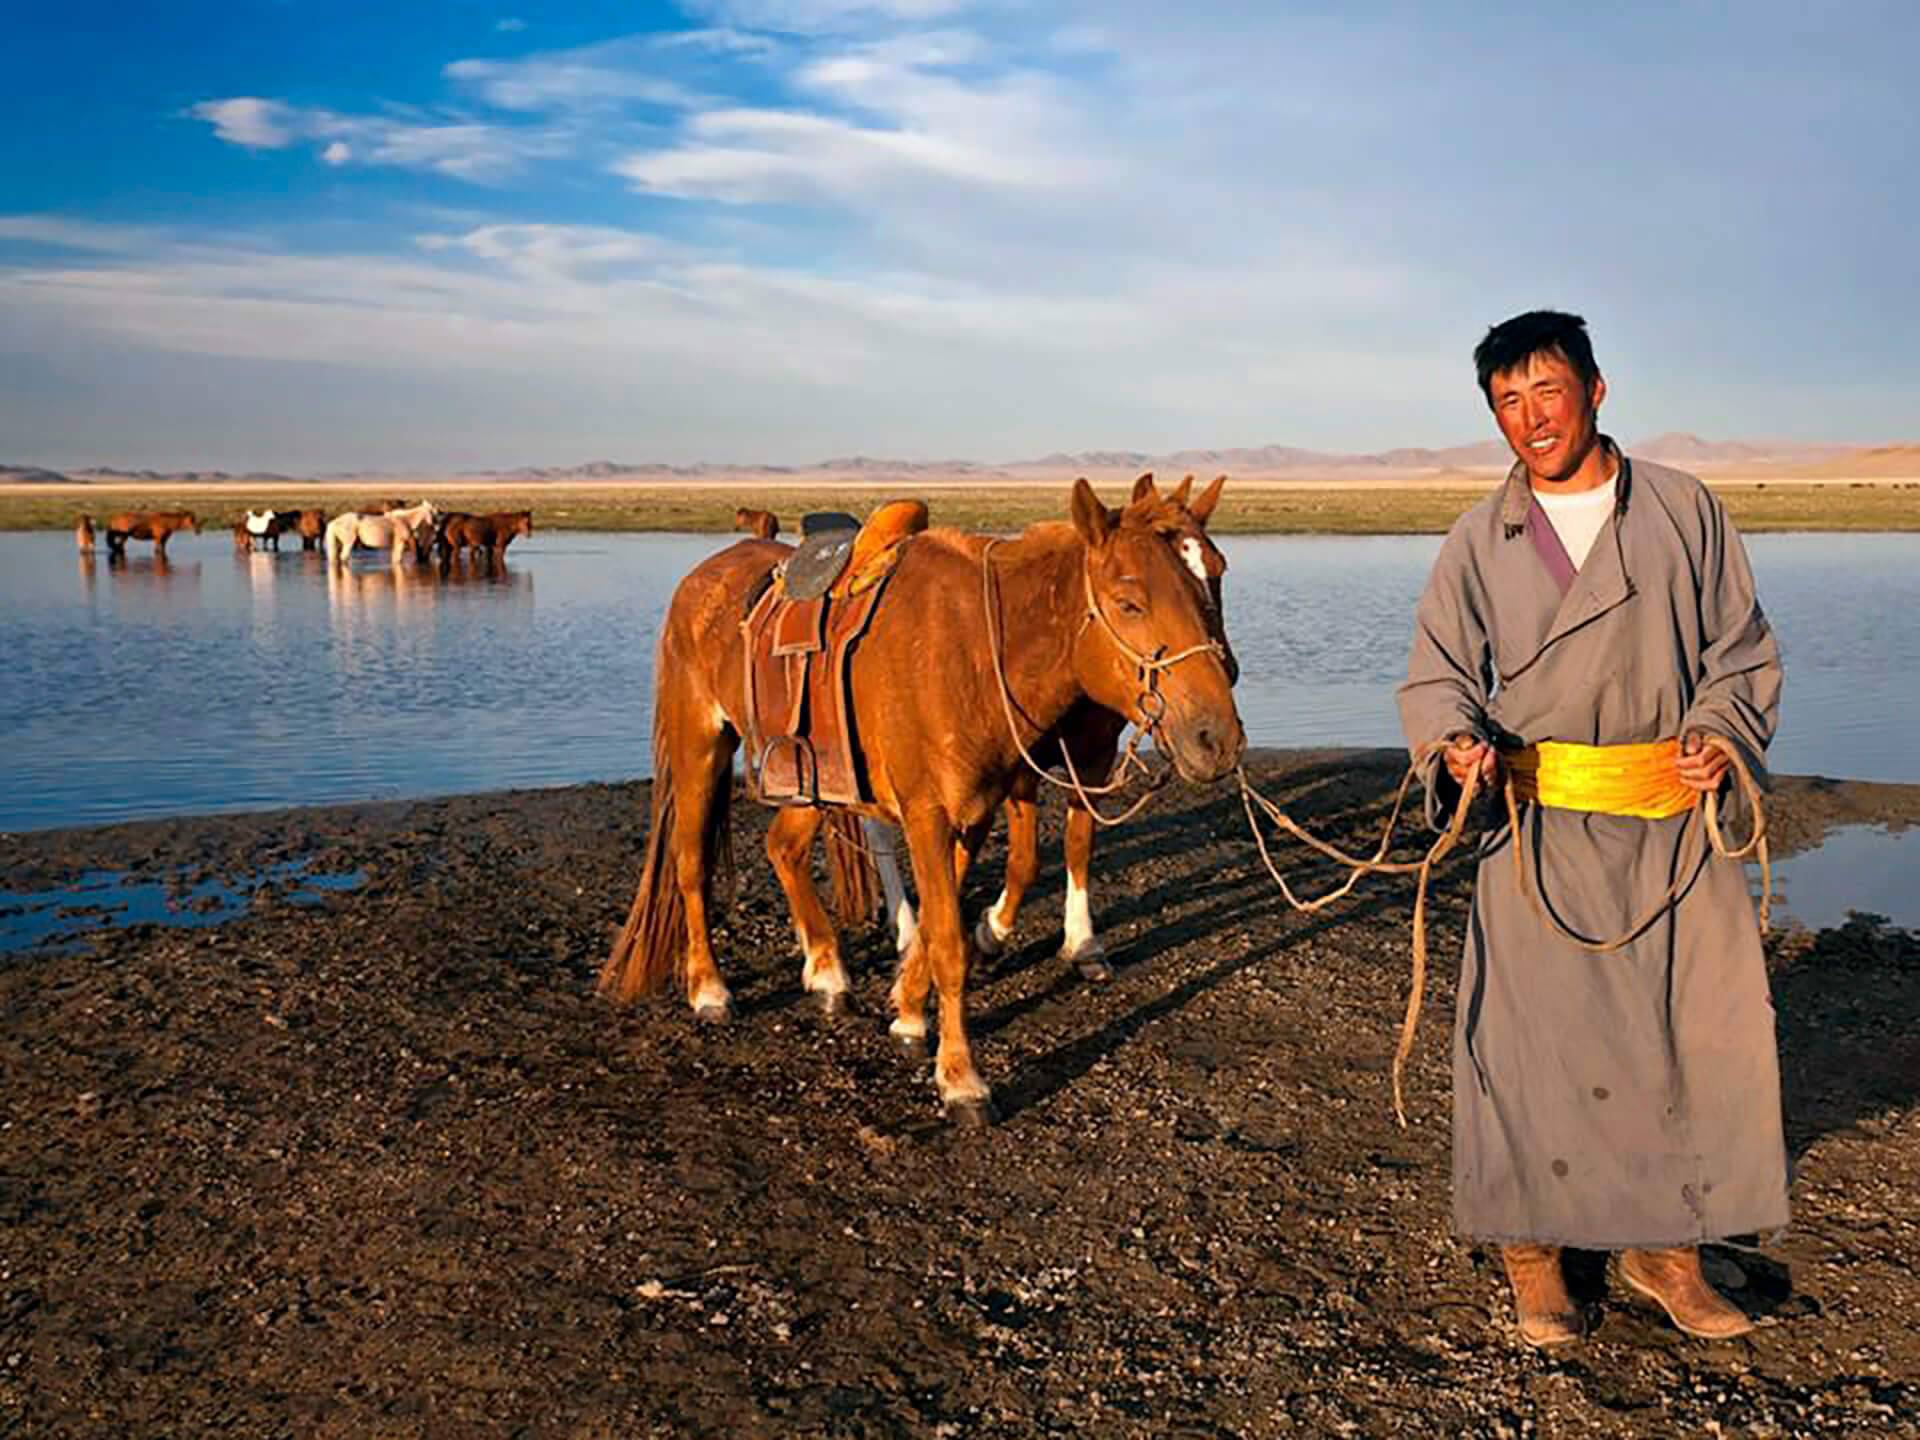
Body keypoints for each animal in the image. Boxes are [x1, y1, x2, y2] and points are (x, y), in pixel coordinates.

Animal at [599, 480, 1244, 1121]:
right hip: (700, 747)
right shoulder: (930, 815)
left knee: (782, 848)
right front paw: (960, 1077)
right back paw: (709, 988)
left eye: (1211, 579)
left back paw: (826, 969)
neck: (978, 650)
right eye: (1129, 601)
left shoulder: (975, 809)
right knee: (690, 865)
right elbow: (950, 944)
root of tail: (703, 575)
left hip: (809, 780)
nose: (1216, 738)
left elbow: (945, 923)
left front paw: (909, 1012)